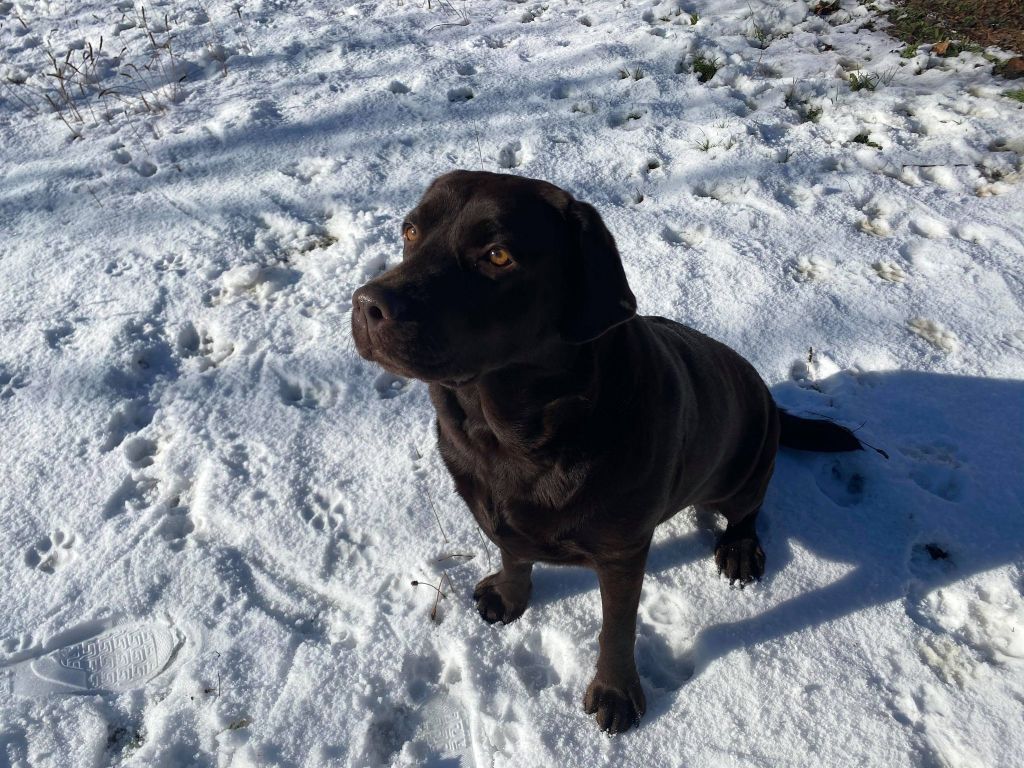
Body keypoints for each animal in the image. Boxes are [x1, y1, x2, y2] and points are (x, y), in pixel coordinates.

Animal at [350, 171, 864, 737]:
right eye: (410, 231)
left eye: (498, 256)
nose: (367, 304)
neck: (511, 437)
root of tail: (768, 394)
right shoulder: (500, 512)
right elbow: (512, 551)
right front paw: (509, 595)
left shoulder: (623, 550)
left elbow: (616, 627)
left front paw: (616, 693)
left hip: (746, 464)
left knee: (747, 508)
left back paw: (739, 548)